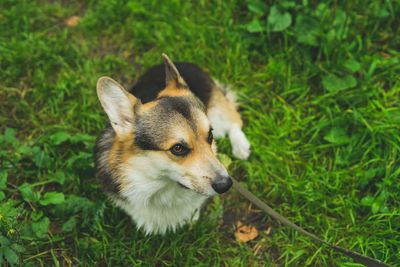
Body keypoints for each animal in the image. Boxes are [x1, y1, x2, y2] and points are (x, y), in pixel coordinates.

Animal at [94, 54, 250, 234]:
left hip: (219, 114)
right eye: (178, 148)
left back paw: (241, 146)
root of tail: (184, 62)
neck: (160, 187)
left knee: (234, 120)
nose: (226, 185)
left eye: (210, 136)